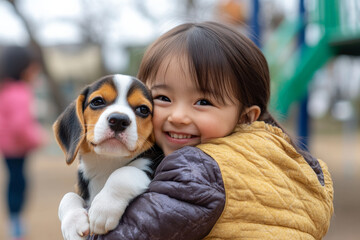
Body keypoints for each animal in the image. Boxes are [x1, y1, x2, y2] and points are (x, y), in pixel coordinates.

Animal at [53, 74, 160, 239]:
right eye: (97, 101)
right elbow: (68, 196)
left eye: (143, 109)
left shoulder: (152, 165)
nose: (119, 120)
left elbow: (123, 174)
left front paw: (103, 209)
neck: (107, 162)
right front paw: (73, 223)